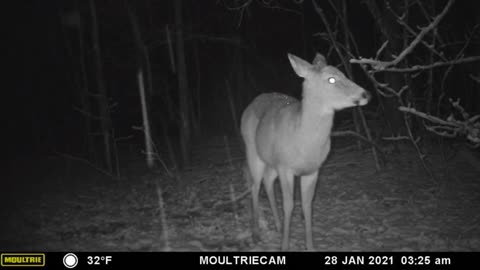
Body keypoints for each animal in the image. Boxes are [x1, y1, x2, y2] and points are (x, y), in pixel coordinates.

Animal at [240, 52, 372, 251]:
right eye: (331, 79)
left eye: (343, 74)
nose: (366, 94)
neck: (305, 143)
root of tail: (253, 102)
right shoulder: (286, 167)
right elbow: (289, 205)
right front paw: (284, 246)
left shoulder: (313, 170)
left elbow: (307, 205)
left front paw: (310, 246)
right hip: (253, 151)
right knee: (255, 186)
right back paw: (256, 233)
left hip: (272, 161)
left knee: (267, 181)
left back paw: (278, 226)